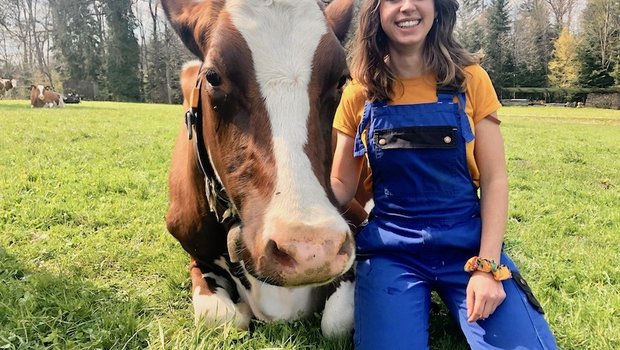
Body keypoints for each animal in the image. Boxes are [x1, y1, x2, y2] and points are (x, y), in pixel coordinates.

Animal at [162, 0, 360, 336]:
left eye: (341, 80)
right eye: (213, 77)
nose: (310, 252)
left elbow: (337, 321)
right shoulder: (194, 251)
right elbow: (221, 317)